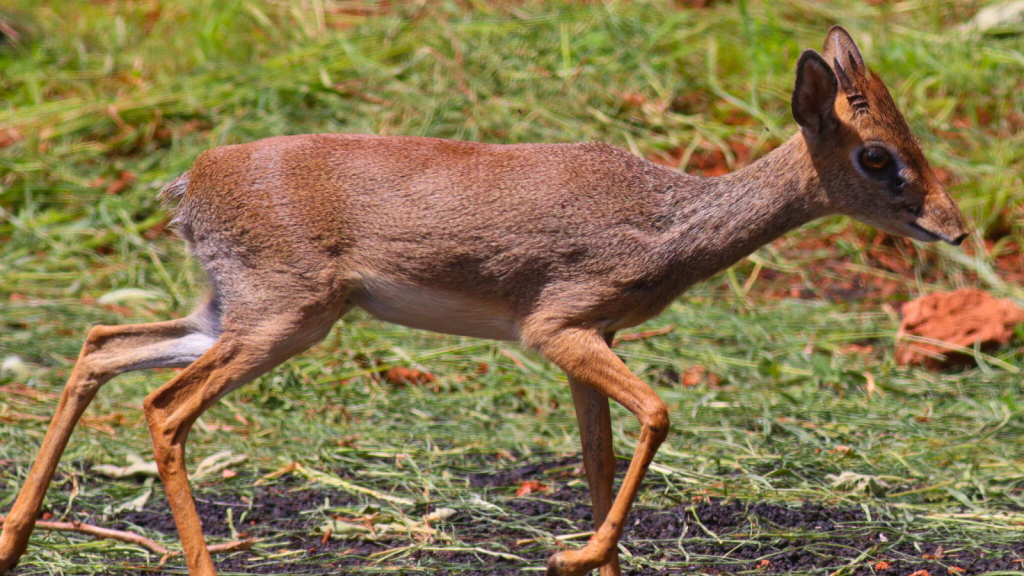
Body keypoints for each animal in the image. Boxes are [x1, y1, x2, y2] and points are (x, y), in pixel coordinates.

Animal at [0, 24, 962, 569]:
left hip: (224, 311)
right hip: (282, 317)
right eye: (878, 155)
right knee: (164, 406)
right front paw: (574, 558)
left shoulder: (592, 343)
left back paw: (14, 538)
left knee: (101, 345)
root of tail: (188, 184)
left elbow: (599, 458)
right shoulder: (556, 328)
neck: (671, 219)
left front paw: (592, 556)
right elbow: (658, 416)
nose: (951, 226)